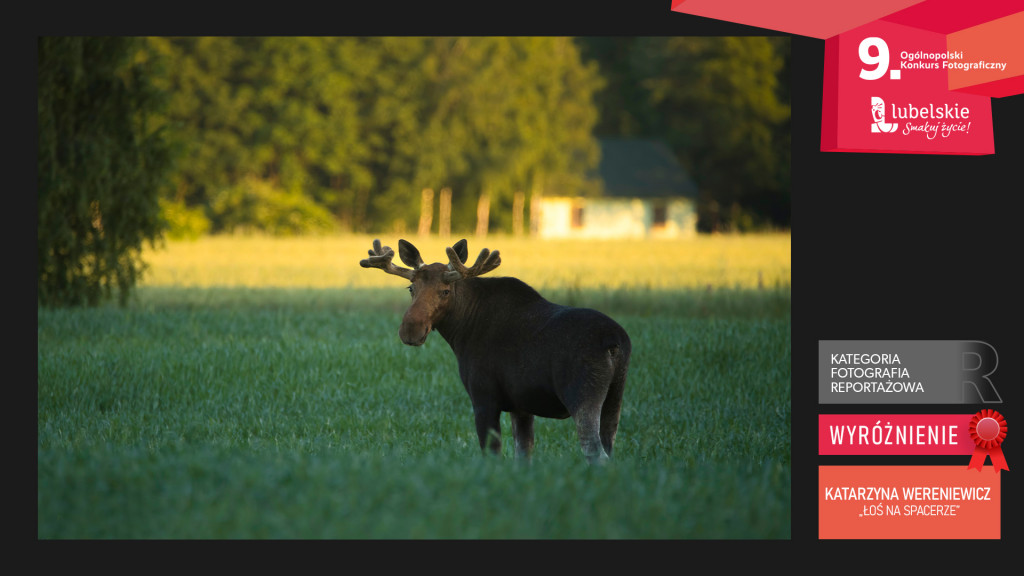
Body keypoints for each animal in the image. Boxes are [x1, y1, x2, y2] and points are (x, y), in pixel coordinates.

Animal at [360, 237, 630, 461]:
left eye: (445, 291)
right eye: (411, 288)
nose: (410, 330)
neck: (461, 331)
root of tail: (615, 343)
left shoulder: (483, 397)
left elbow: (492, 453)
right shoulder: (521, 405)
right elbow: (523, 454)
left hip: (581, 394)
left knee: (595, 453)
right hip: (615, 397)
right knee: (609, 448)